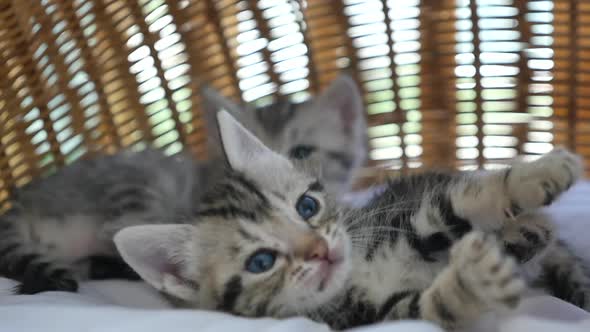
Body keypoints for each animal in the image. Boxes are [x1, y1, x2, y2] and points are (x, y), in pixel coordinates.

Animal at [115, 111, 590, 330]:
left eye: (307, 207)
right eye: (260, 262)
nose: (321, 250)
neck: (358, 273)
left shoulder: (394, 216)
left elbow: (449, 207)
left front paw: (535, 174)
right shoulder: (378, 316)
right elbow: (433, 306)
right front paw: (475, 280)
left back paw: (525, 230)